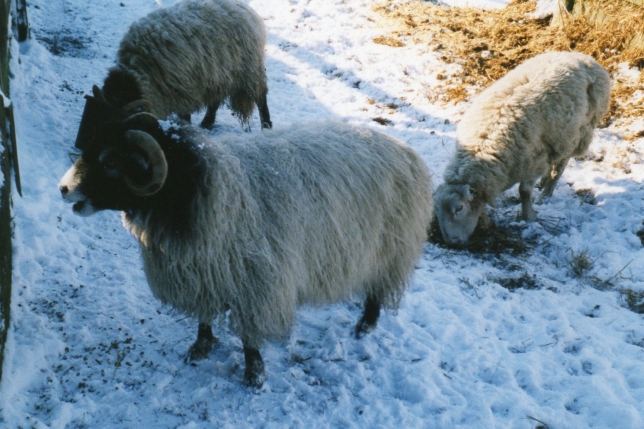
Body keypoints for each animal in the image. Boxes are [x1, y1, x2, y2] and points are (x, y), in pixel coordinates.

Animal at [58, 111, 433, 387]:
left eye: (111, 162)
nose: (63, 188)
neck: (203, 192)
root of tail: (405, 149)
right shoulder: (203, 273)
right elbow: (204, 318)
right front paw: (201, 347)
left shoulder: (257, 282)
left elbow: (250, 336)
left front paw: (255, 374)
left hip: (390, 247)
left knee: (378, 290)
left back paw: (365, 326)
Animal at [100, 0, 272, 130]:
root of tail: (245, 8)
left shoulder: (183, 90)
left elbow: (185, 117)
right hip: (219, 71)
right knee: (216, 99)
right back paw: (206, 122)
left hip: (250, 68)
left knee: (261, 97)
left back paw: (266, 126)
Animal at [434, 51, 610, 247]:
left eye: (459, 208)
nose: (452, 242)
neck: (483, 149)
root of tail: (583, 57)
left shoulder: (532, 162)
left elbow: (524, 192)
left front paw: (528, 218)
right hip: (556, 140)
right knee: (553, 161)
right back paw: (543, 183)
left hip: (577, 134)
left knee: (560, 166)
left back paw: (546, 194)